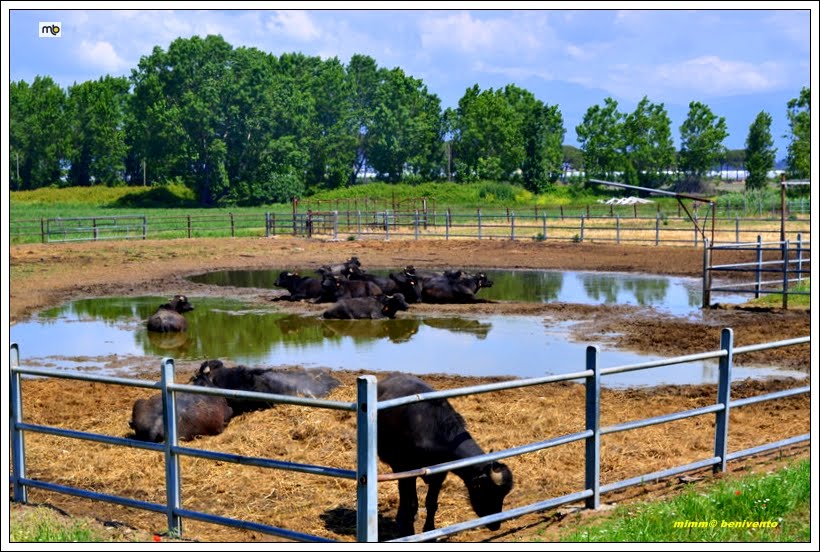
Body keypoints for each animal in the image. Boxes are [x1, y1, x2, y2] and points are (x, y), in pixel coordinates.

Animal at [376, 374, 512, 536]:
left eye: (504, 494)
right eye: (489, 491)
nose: (496, 525)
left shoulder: (440, 474)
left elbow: (431, 503)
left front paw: (430, 531)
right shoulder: (408, 469)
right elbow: (412, 503)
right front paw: (408, 531)